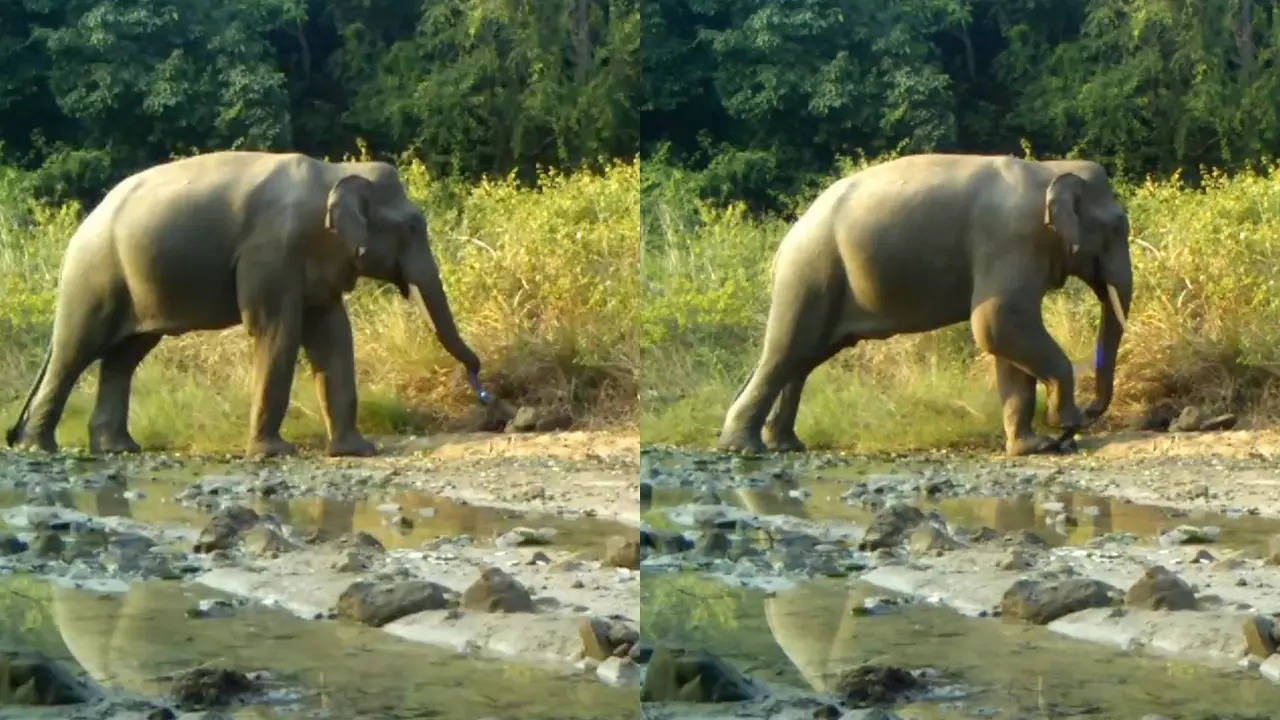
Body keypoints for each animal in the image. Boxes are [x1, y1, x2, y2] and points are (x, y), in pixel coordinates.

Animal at [7, 148, 486, 456]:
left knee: (125, 356)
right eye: (412, 228)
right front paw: (274, 453)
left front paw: (356, 451)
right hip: (94, 276)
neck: (334, 171)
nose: (481, 385)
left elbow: (332, 334)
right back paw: (40, 449)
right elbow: (276, 331)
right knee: (75, 352)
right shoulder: (271, 250)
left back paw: (118, 448)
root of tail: (83, 225)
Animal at [721, 151, 1131, 453]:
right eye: (1118, 228)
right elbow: (996, 324)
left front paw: (1032, 446)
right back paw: (743, 448)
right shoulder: (1009, 240)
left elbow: (1004, 343)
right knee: (784, 353)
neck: (1049, 168)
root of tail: (788, 237)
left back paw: (785, 444)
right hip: (808, 272)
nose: (1090, 411)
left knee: (803, 357)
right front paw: (1063, 425)